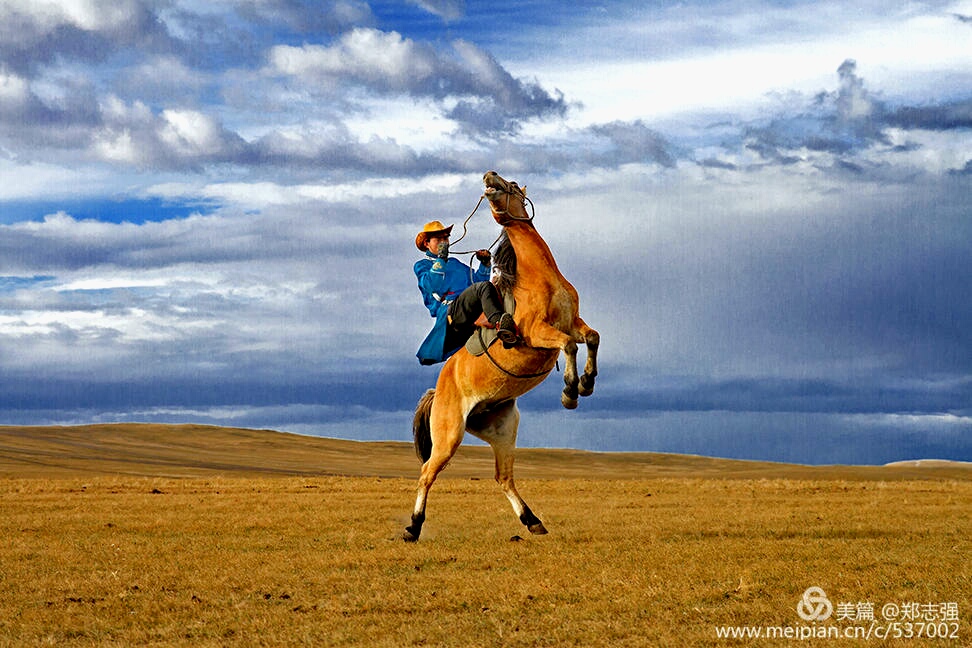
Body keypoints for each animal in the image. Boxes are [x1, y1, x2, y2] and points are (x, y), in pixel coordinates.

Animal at [403, 171, 600, 542]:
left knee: (503, 477)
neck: (539, 279)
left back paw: (533, 521)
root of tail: (439, 390)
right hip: (449, 435)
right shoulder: (538, 333)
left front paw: (586, 382)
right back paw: (412, 527)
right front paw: (570, 390)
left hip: (502, 430)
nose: (489, 175)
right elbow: (568, 345)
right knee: (426, 473)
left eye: (512, 183)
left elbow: (591, 339)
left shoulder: (575, 322)